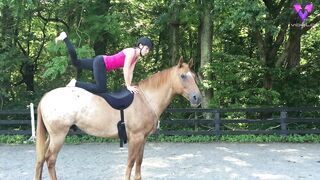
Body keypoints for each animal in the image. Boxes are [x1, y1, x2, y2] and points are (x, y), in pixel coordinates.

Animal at [33, 57, 201, 180]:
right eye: (183, 76)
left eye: (194, 76)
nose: (197, 98)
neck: (146, 99)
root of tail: (46, 97)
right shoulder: (135, 138)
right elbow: (130, 163)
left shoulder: (143, 139)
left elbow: (138, 164)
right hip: (58, 136)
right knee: (50, 160)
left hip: (50, 137)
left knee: (40, 159)